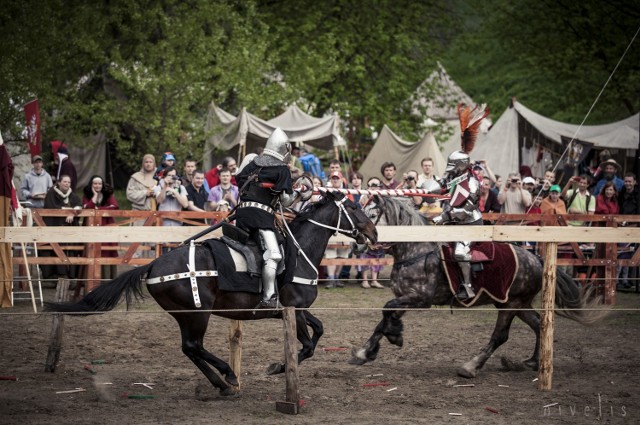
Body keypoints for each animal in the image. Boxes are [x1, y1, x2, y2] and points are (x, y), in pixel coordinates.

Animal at [47, 192, 378, 394]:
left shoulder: (295, 310)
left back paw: (221, 383)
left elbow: (319, 330)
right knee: (194, 346)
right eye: (354, 208)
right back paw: (227, 376)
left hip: (186, 316)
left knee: (189, 348)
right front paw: (278, 367)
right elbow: (308, 346)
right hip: (198, 314)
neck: (300, 249)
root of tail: (153, 264)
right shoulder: (292, 310)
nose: (374, 233)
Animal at [350, 197, 604, 376]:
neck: (416, 250)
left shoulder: (419, 299)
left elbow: (386, 311)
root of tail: (537, 259)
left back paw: (471, 366)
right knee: (539, 325)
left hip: (510, 305)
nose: (357, 245)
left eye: (372, 213)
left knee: (500, 336)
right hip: (518, 304)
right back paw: (532, 362)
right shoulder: (404, 298)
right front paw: (368, 351)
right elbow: (384, 319)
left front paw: (390, 338)